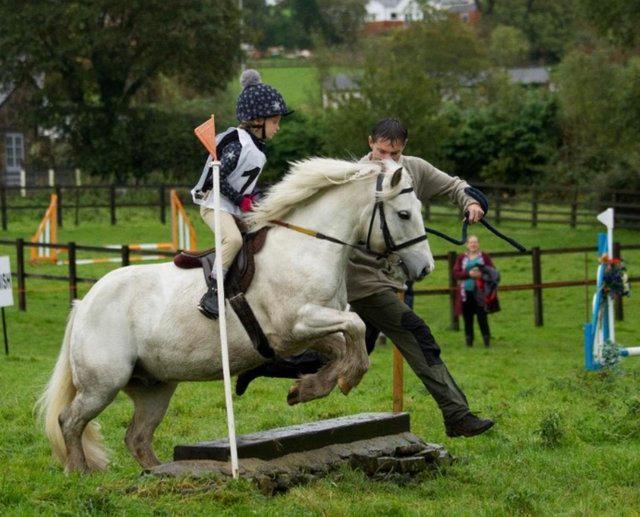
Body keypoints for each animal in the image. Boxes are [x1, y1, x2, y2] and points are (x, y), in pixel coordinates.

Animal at [37, 157, 435, 473]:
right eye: (403, 214)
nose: (426, 268)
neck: (307, 246)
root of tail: (84, 303)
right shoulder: (298, 323)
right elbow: (354, 327)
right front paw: (342, 380)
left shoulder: (305, 333)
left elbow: (345, 344)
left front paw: (308, 388)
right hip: (103, 384)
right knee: (69, 421)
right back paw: (79, 473)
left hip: (154, 387)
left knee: (136, 437)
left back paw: (158, 472)